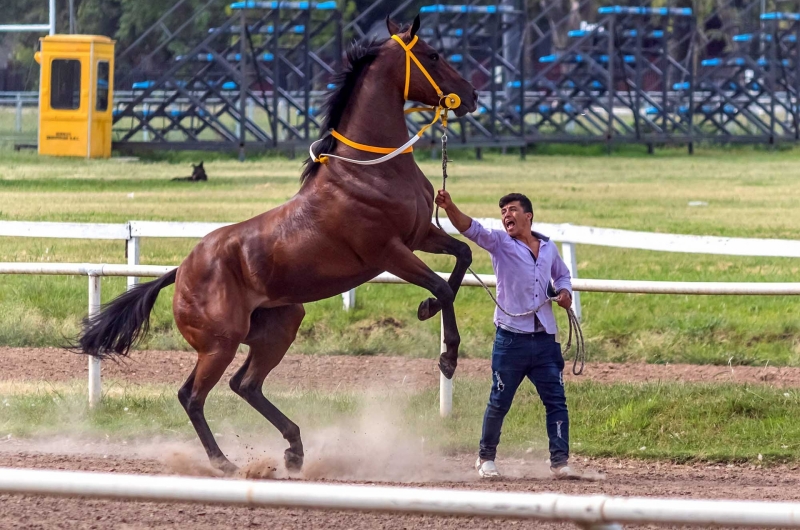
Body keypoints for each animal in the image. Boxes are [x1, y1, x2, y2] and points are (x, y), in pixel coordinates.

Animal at [76, 16, 476, 472]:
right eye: (434, 55)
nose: (472, 95)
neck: (372, 172)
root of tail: (181, 271)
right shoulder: (389, 252)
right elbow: (443, 285)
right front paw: (448, 357)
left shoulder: (421, 234)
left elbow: (463, 257)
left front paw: (427, 309)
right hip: (220, 343)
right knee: (192, 395)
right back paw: (224, 462)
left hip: (279, 326)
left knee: (245, 384)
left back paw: (294, 448)